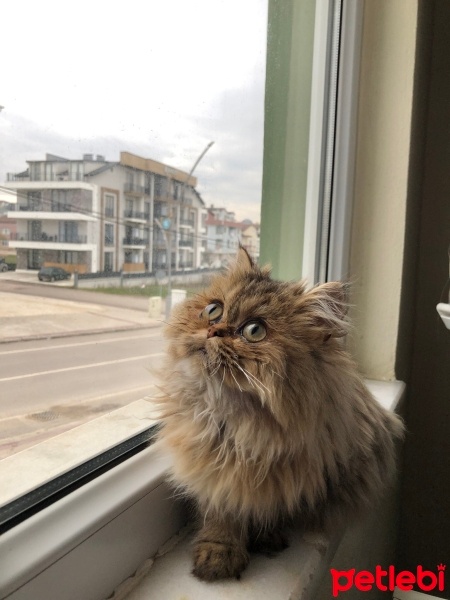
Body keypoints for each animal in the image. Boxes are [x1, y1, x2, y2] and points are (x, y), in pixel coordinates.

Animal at [156, 246, 404, 580]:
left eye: (254, 330)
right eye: (213, 310)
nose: (212, 330)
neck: (233, 424)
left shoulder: (296, 481)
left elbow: (270, 509)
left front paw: (265, 536)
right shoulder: (212, 475)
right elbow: (220, 516)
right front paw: (219, 551)